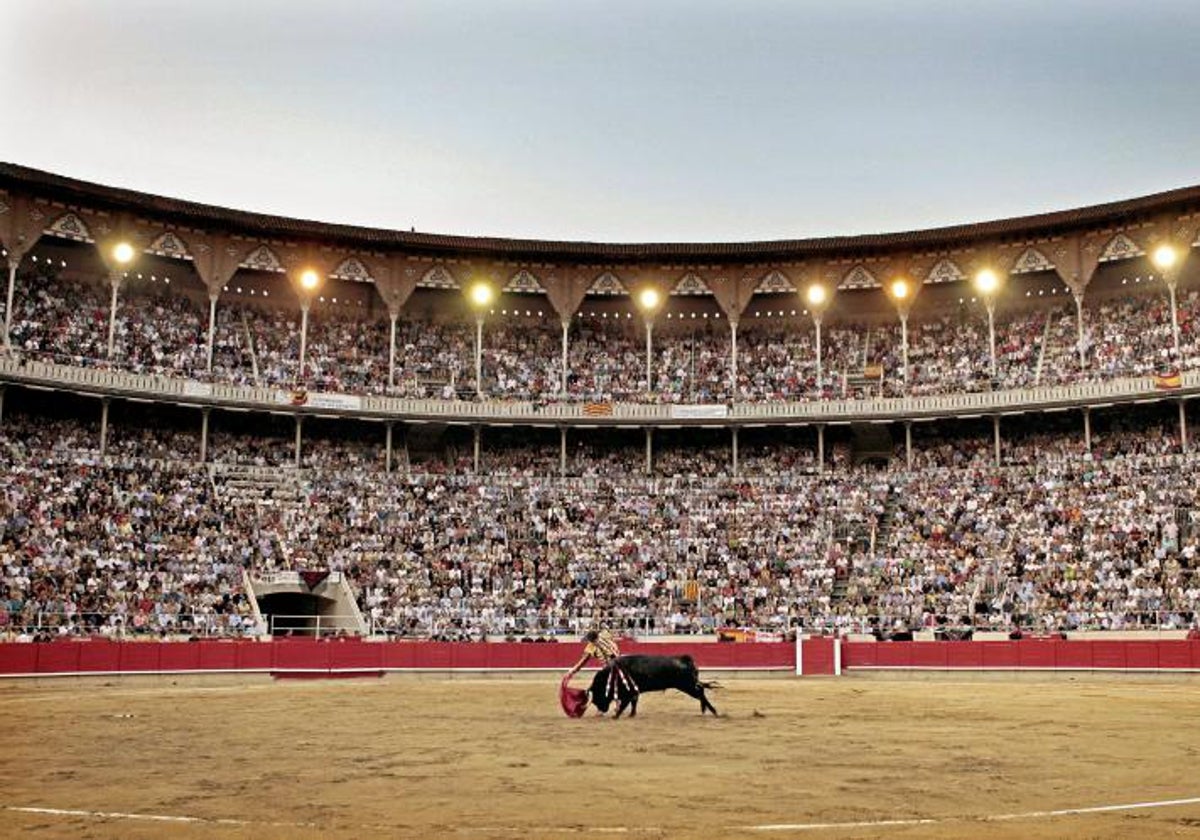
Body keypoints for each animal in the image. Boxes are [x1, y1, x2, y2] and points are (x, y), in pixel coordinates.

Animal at [585, 652, 715, 720]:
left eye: (598, 693)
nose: (601, 710)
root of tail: (685, 659)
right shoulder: (634, 692)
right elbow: (634, 703)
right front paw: (632, 715)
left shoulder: (628, 693)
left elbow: (624, 705)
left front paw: (615, 716)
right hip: (689, 685)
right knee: (701, 691)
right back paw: (706, 710)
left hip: (687, 685)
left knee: (700, 692)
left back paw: (713, 711)